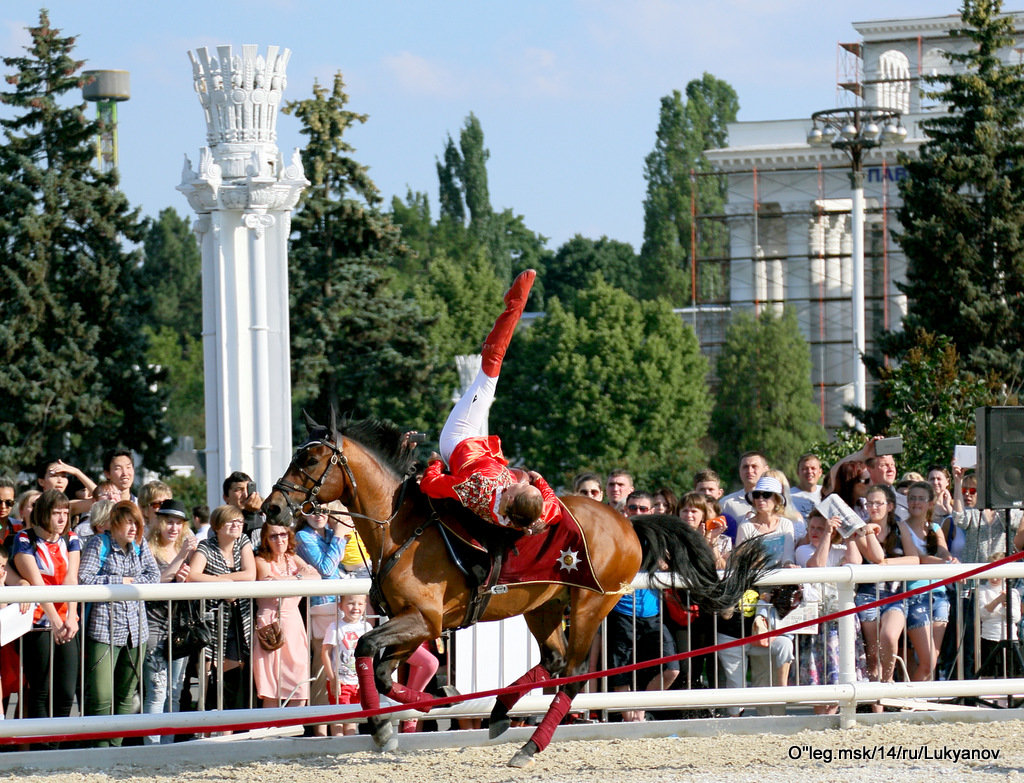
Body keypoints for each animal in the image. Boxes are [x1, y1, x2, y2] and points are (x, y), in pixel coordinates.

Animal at [264, 411, 770, 765]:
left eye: (310, 459)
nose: (271, 508)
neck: (401, 528)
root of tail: (628, 521)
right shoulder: (421, 624)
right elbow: (386, 671)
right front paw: (430, 706)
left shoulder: (424, 619)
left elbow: (367, 647)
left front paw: (390, 726)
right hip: (543, 605)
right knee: (553, 660)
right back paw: (498, 712)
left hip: (590, 604)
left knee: (573, 673)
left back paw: (530, 745)